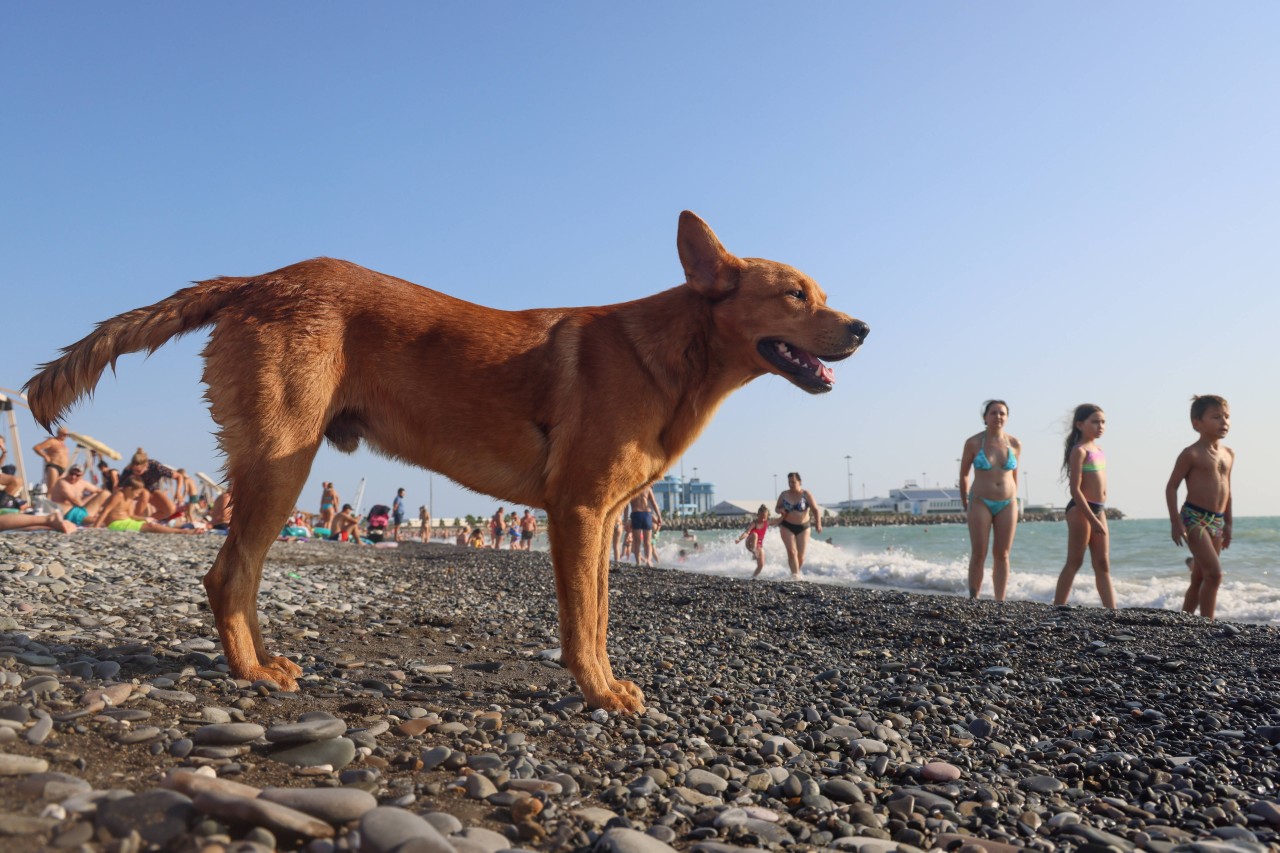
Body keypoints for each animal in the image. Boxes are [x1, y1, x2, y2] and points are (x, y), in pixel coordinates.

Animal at [27, 212, 870, 712]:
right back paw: (253, 672)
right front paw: (596, 691)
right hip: (279, 466)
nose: (863, 328)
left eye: (819, 292)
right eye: (794, 294)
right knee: (228, 574)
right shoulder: (578, 511)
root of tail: (258, 279)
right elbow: (582, 620)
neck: (676, 352)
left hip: (275, 470)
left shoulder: (601, 519)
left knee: (242, 577)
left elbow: (598, 612)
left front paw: (603, 680)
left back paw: (264, 659)